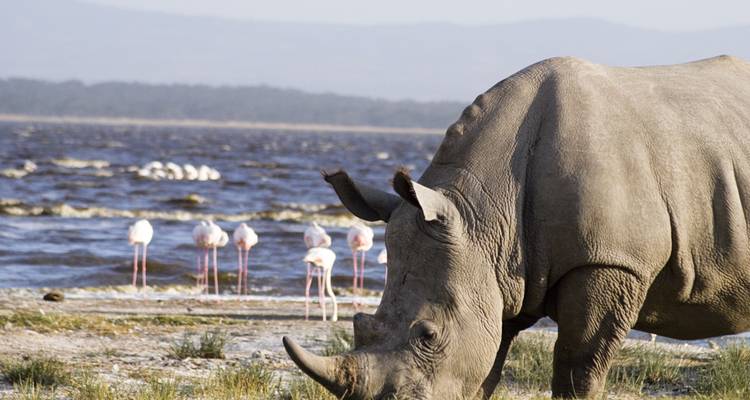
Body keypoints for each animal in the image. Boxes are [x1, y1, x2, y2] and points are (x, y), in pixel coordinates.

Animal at [282, 55, 750, 399]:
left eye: (428, 335)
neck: (482, 214)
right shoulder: (496, 271)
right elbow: (486, 368)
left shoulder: (612, 261)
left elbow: (577, 367)